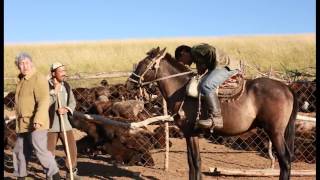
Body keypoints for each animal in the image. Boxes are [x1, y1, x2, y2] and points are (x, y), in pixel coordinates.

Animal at [125, 47, 298, 180]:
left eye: (143, 63)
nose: (129, 83)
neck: (181, 90)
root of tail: (286, 87)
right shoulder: (190, 133)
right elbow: (192, 161)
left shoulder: (191, 132)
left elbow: (195, 161)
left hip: (275, 132)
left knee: (285, 161)